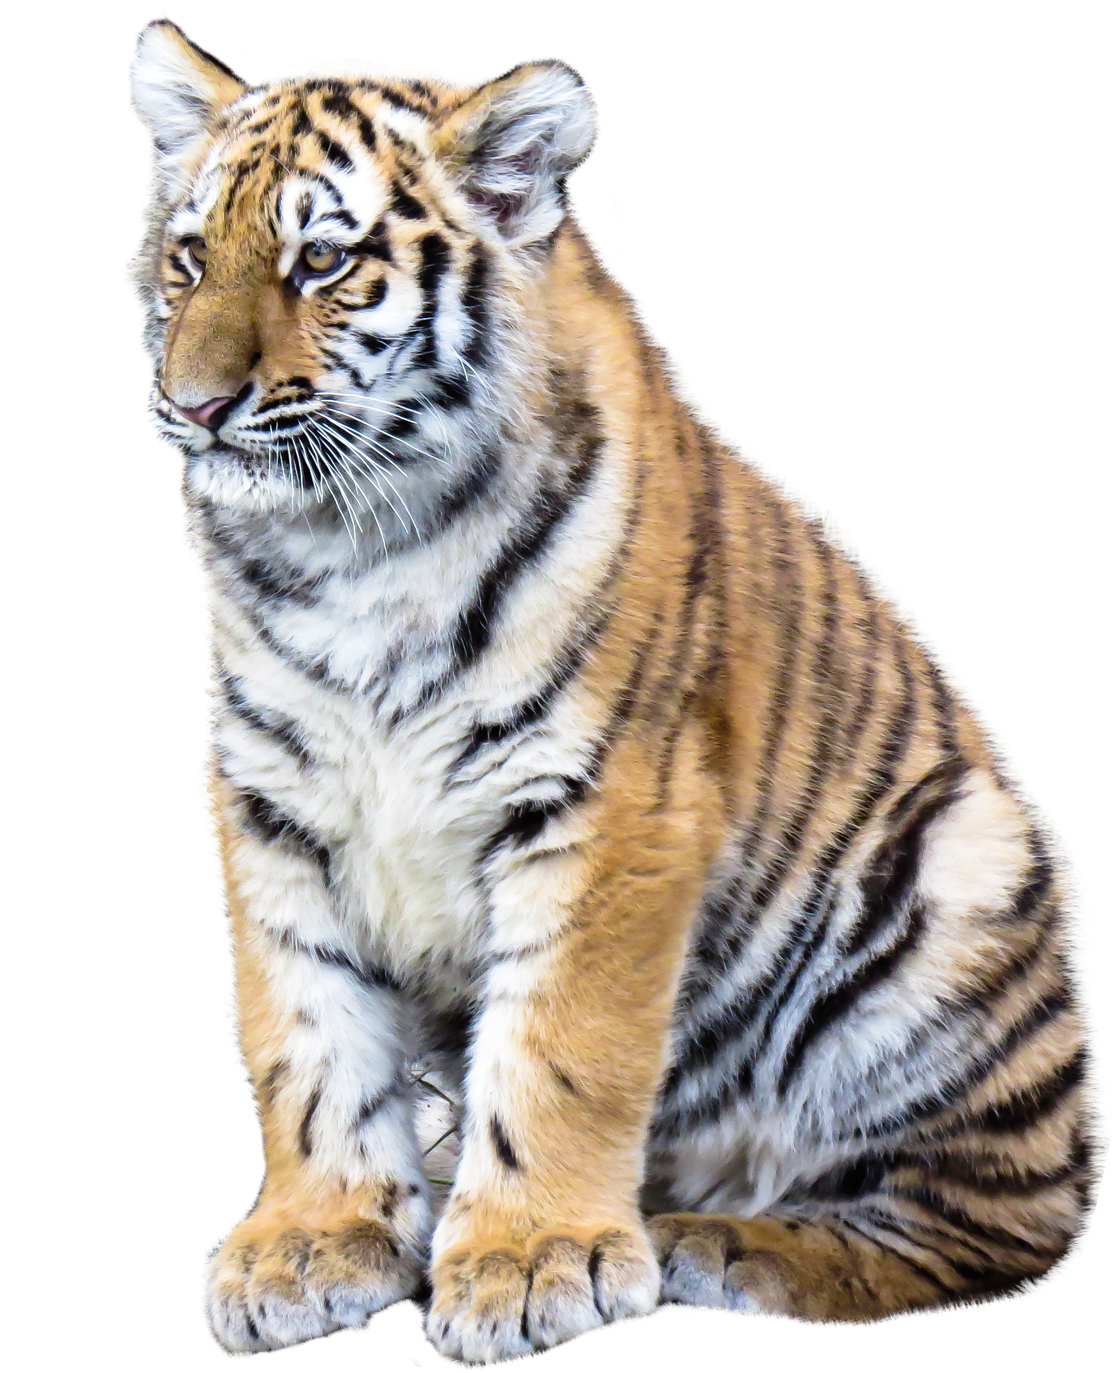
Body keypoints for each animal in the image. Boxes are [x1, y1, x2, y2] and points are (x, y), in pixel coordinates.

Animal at [120, 15, 1103, 1366]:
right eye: (187, 259)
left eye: (322, 259)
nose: (195, 406)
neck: (352, 552)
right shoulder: (268, 797)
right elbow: (303, 1029)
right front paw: (314, 1239)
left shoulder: (608, 800)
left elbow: (562, 1043)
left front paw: (533, 1258)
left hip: (957, 879)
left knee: (994, 1221)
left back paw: (727, 1242)